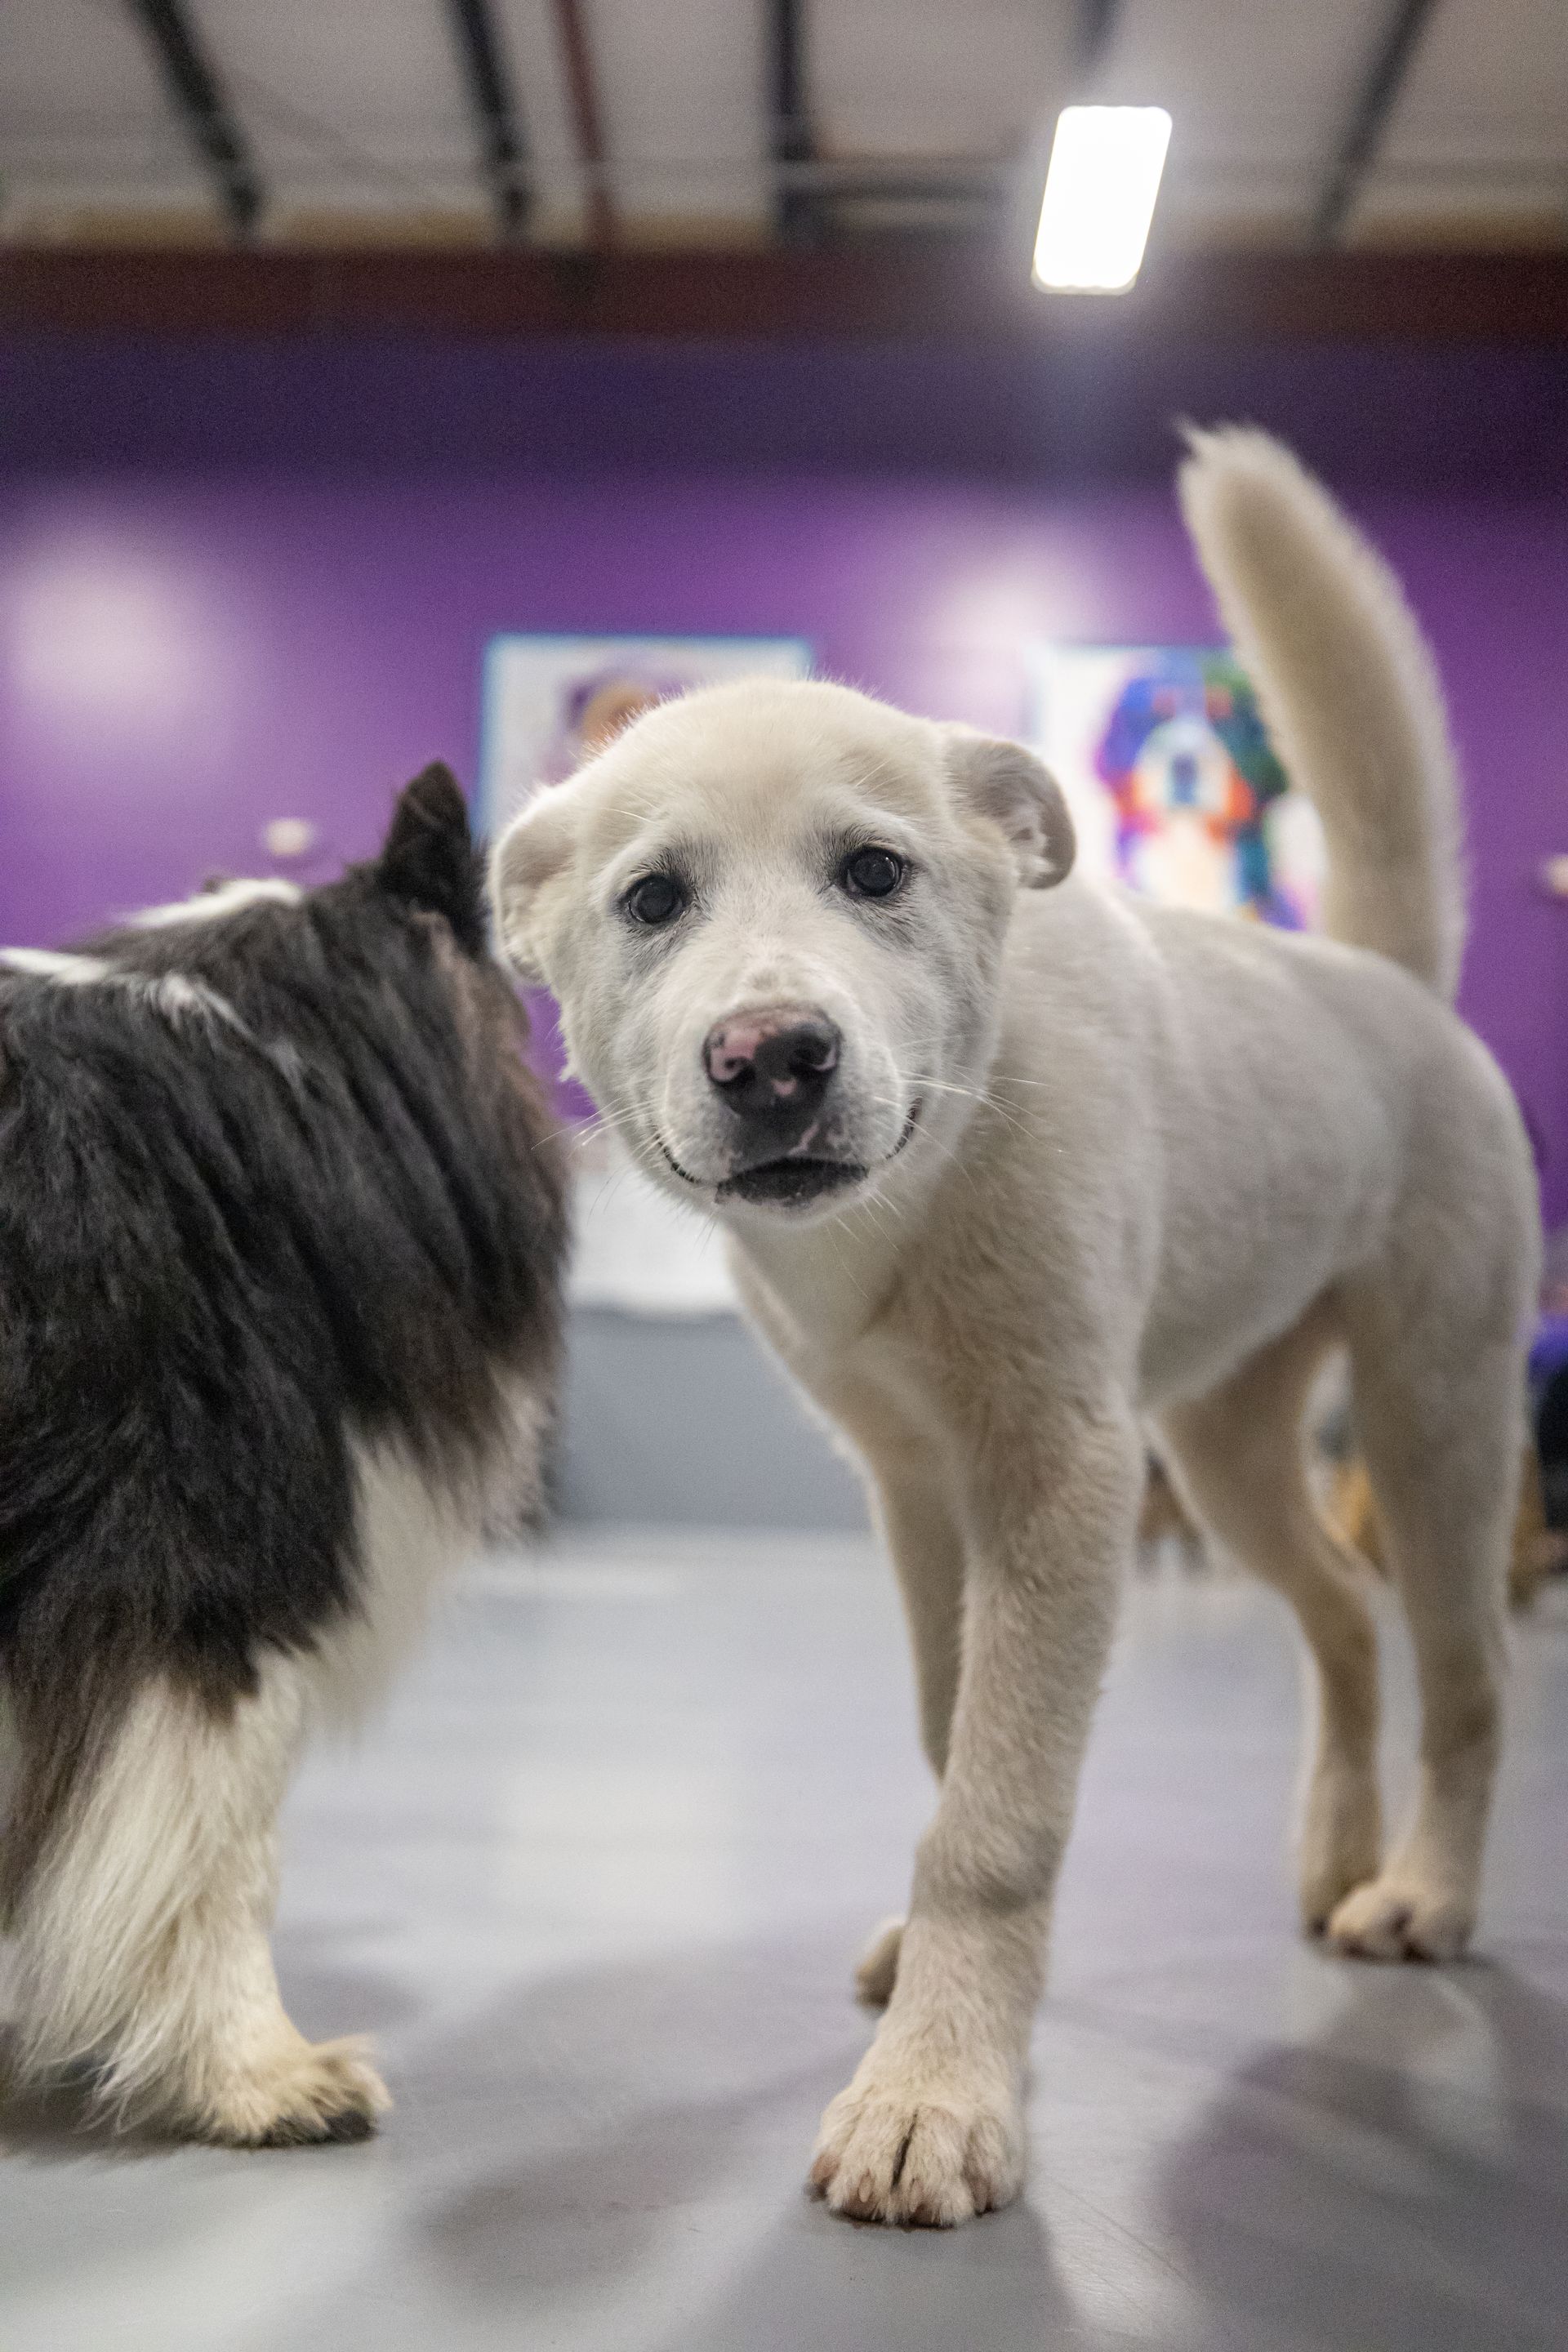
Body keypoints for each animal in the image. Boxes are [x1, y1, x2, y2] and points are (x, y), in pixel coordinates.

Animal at [496, 437, 1542, 2220]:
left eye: (875, 873)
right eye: (651, 901)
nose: (774, 1057)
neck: (925, 1177)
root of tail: (1380, 981)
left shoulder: (1057, 1477)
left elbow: (999, 1817)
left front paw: (935, 2093)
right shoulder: (926, 1495)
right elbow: (956, 1740)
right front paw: (938, 1985)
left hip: (1433, 1425)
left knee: (1466, 1676)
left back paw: (1420, 1895)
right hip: (1223, 1446)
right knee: (1342, 1618)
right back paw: (1335, 1853)